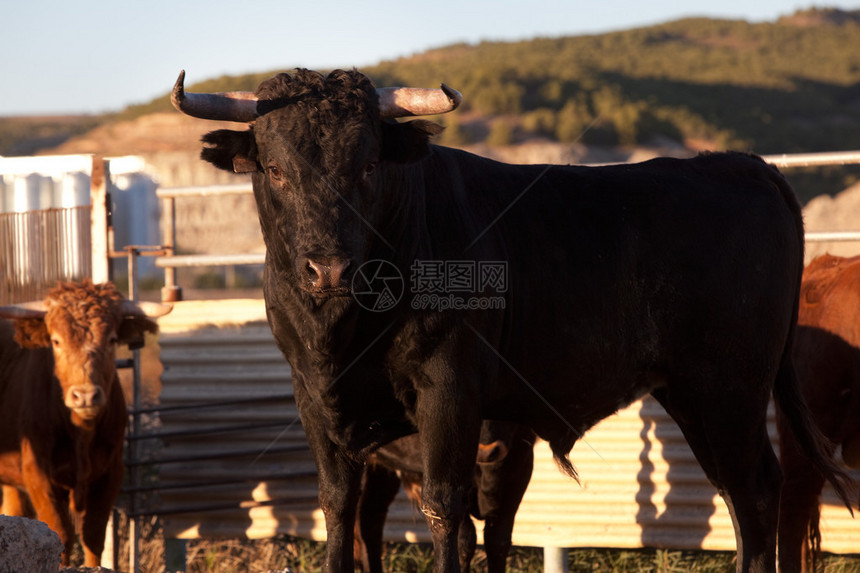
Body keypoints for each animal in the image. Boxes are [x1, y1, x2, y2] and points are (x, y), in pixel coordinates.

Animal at [0, 280, 172, 564]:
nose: (86, 395)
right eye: (56, 341)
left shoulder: (111, 473)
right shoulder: (37, 472)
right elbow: (60, 532)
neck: (81, 432)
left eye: (112, 339)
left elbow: (93, 535)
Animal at [173, 69, 852, 568]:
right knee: (742, 495)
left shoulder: (449, 394)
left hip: (730, 388)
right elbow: (338, 509)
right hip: (696, 396)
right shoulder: (317, 399)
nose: (328, 268)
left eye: (367, 166)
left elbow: (446, 510)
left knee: (757, 492)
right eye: (276, 169)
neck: (348, 324)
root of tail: (743, 164)